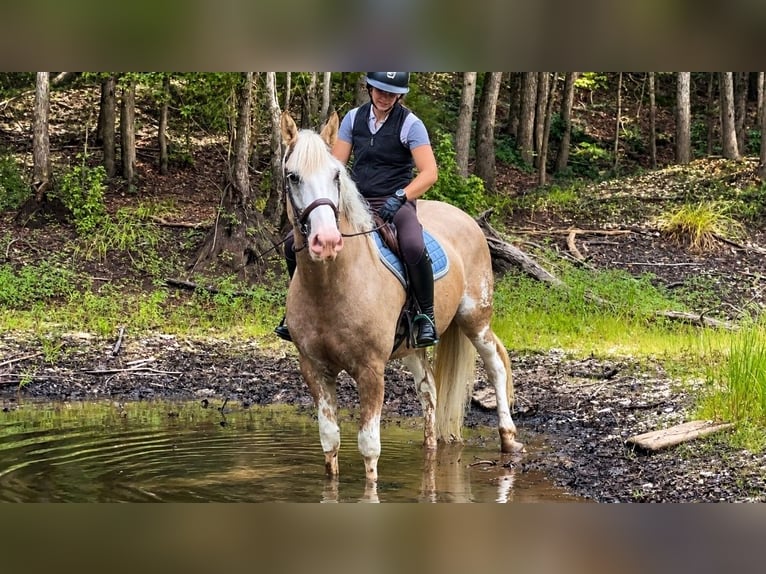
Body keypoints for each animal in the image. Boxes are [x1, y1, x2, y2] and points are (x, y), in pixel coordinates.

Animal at [279, 111, 523, 483]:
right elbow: (330, 441)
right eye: (293, 176)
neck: (332, 285)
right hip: (412, 345)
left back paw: (508, 438)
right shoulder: (314, 368)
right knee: (429, 390)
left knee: (495, 364)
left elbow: (369, 447)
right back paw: (431, 448)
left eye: (336, 175)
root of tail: (466, 219)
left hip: (475, 318)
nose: (327, 241)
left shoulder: (371, 370)